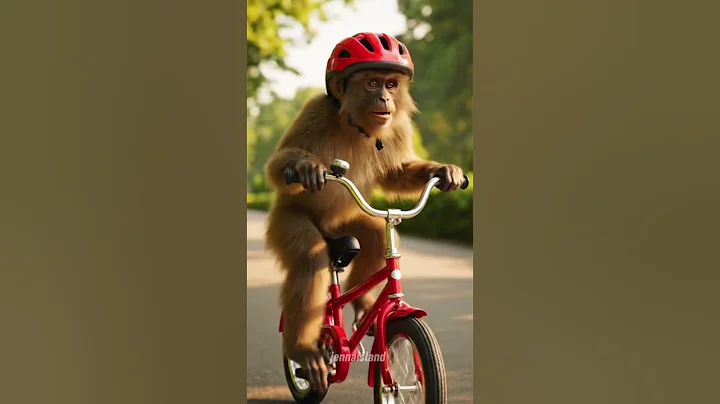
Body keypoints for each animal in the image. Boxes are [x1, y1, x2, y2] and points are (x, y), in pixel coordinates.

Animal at [263, 32, 466, 392]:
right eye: (372, 83)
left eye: (390, 84)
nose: (385, 97)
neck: (356, 124)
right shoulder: (315, 110)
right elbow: (278, 163)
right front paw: (305, 167)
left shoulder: (397, 127)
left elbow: (396, 172)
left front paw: (446, 172)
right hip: (285, 221)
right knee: (310, 260)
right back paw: (304, 354)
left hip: (347, 225)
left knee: (374, 235)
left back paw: (362, 306)